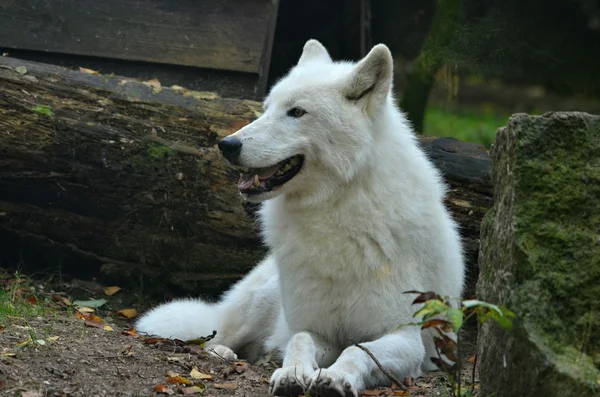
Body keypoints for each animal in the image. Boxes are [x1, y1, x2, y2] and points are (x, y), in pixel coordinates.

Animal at [136, 38, 464, 394]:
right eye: (266, 108)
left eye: (296, 112)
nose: (226, 144)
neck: (334, 215)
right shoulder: (314, 329)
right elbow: (299, 341)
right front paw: (291, 374)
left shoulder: (405, 338)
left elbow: (356, 349)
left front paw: (336, 378)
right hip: (259, 303)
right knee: (216, 338)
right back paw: (225, 353)